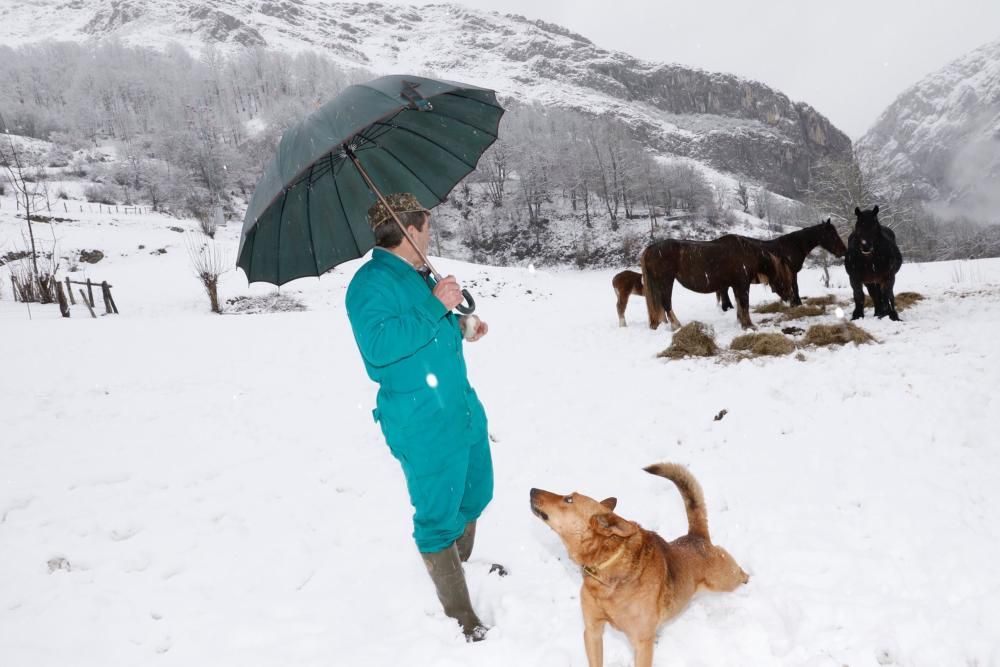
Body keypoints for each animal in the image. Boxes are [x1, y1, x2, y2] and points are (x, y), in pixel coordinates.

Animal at [532, 464, 752, 667]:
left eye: (568, 499)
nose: (532, 489)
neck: (606, 566)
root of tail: (696, 537)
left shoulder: (641, 643)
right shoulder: (592, 632)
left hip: (724, 579)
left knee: (740, 573)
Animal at [640, 235, 796, 332]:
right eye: (785, 277)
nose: (790, 298)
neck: (747, 253)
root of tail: (651, 248)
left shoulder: (736, 286)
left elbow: (739, 305)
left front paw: (741, 322)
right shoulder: (742, 285)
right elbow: (744, 304)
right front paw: (749, 325)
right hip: (666, 281)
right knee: (666, 303)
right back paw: (677, 325)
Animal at [716, 220, 848, 312]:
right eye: (832, 234)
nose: (844, 251)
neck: (794, 245)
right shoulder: (792, 272)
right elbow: (795, 288)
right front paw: (798, 304)